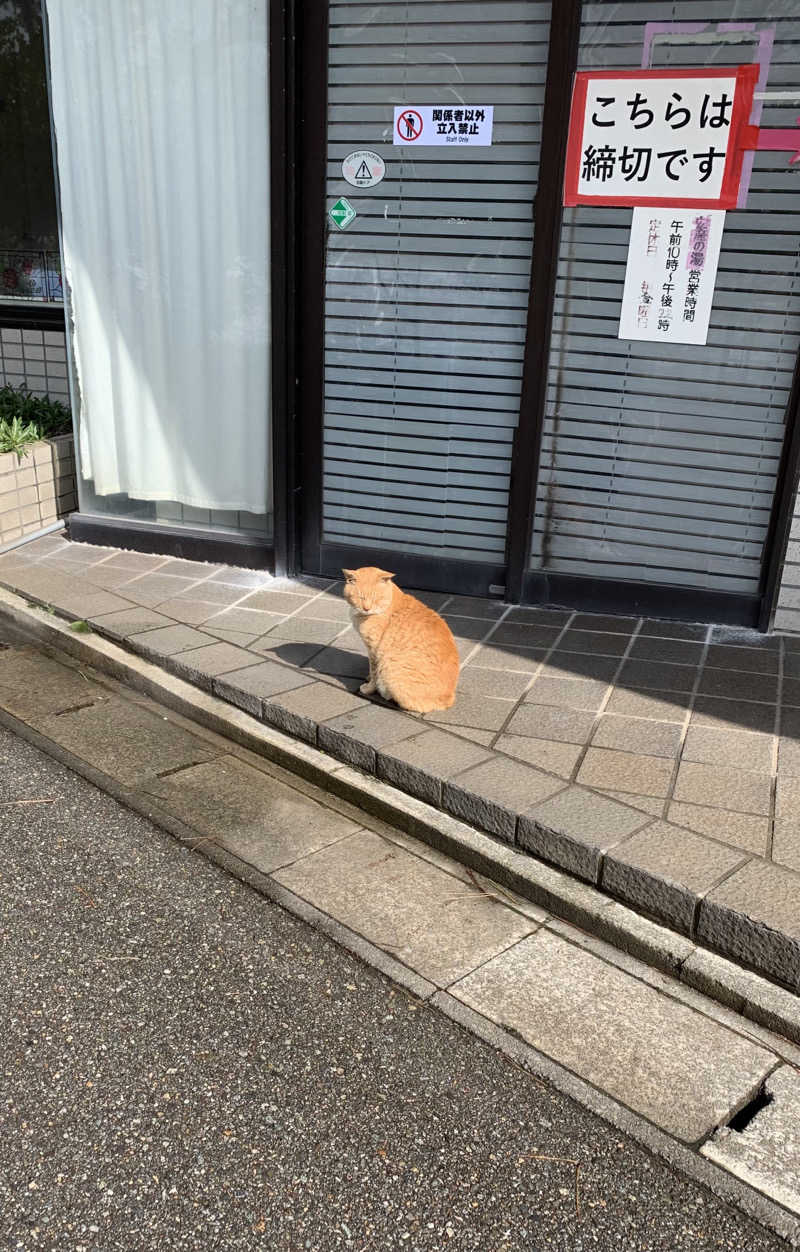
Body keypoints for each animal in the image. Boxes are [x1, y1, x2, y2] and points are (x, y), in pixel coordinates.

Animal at [340, 568, 460, 716]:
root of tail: (448, 698)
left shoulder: (374, 651)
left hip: (391, 667)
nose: (366, 608)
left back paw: (386, 693)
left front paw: (369, 688)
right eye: (360, 597)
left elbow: (374, 672)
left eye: (375, 598)